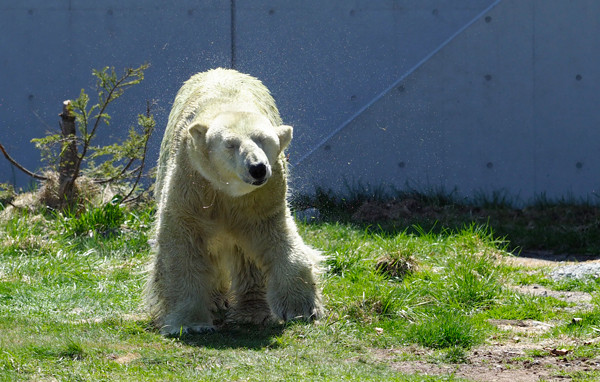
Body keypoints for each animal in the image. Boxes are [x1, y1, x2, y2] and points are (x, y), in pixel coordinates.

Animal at [146, 68, 324, 334]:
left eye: (263, 140)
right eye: (231, 144)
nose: (258, 168)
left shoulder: (263, 197)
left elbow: (278, 240)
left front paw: (302, 307)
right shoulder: (191, 185)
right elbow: (181, 249)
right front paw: (191, 323)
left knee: (247, 258)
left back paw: (254, 313)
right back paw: (217, 302)